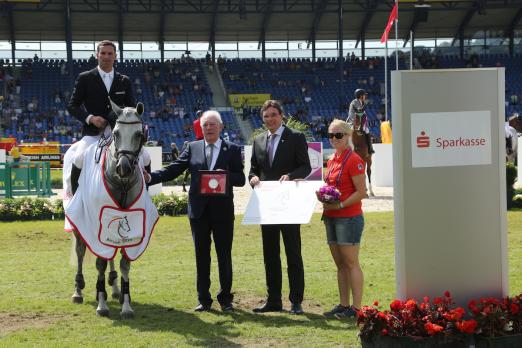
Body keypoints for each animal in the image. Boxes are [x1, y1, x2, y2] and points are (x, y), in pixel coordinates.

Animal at [67, 100, 146, 318]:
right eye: (117, 133)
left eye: (139, 134)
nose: (123, 168)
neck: (121, 183)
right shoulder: (94, 223)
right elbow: (99, 261)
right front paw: (102, 305)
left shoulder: (132, 225)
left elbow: (124, 263)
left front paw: (126, 304)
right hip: (78, 222)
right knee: (80, 250)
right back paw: (79, 290)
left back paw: (114, 286)